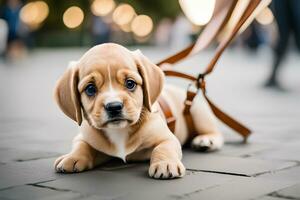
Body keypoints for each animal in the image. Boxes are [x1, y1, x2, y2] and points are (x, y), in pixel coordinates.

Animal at [53, 43, 223, 179]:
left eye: (130, 83)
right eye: (90, 89)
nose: (114, 106)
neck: (119, 131)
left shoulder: (167, 138)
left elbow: (163, 148)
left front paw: (166, 164)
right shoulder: (85, 138)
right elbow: (81, 146)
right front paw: (72, 157)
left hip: (198, 113)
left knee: (215, 133)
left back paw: (205, 140)